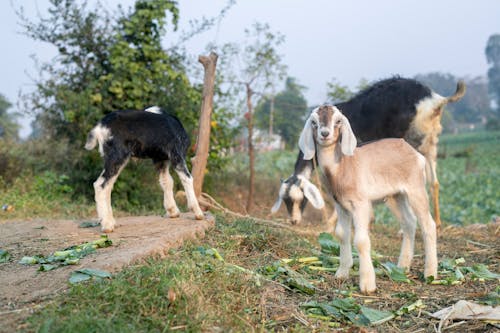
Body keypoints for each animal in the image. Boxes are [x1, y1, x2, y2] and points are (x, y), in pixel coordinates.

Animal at [274, 77, 464, 228]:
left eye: (301, 200)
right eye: (285, 200)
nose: (294, 221)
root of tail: (433, 100)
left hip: (407, 141)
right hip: (429, 144)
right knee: (434, 182)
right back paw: (437, 223)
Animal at [300, 104, 438, 294]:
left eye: (338, 120)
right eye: (314, 122)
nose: (325, 133)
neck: (343, 167)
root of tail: (416, 154)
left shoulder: (361, 204)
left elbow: (361, 240)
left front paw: (367, 285)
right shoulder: (340, 205)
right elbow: (341, 234)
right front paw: (342, 273)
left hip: (415, 188)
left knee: (428, 224)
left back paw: (430, 273)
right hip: (396, 196)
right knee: (409, 222)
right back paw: (402, 267)